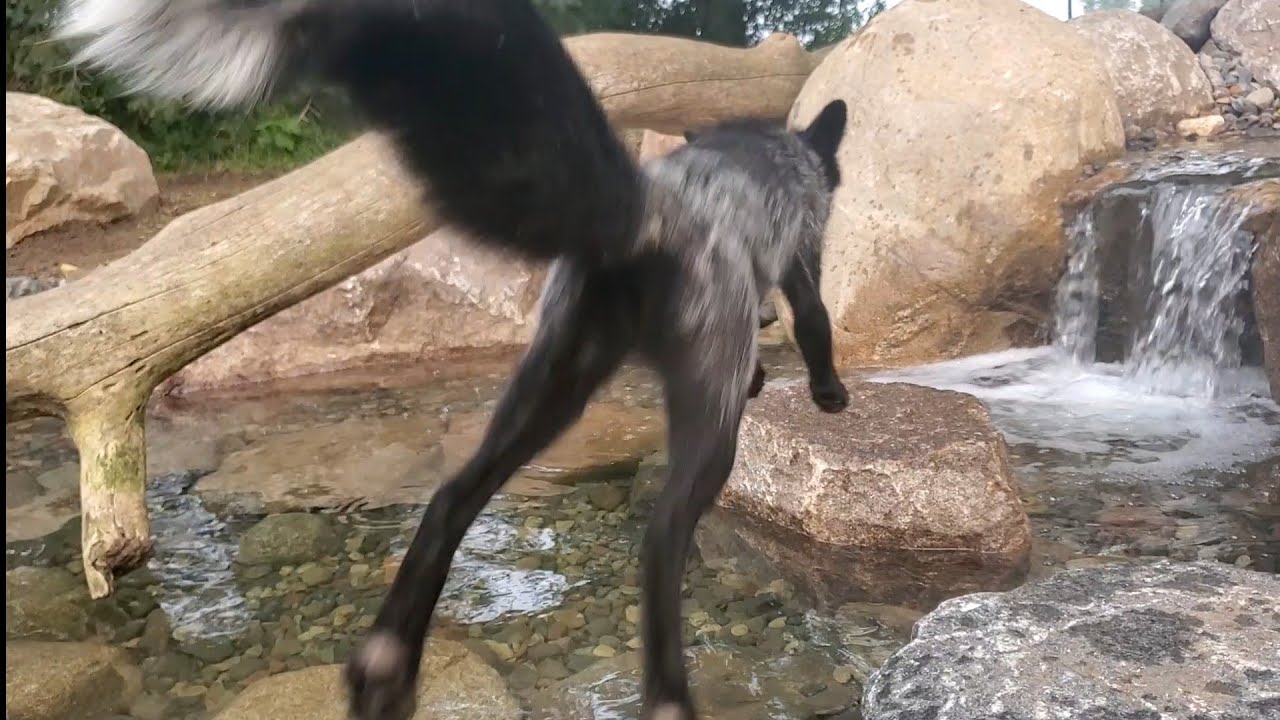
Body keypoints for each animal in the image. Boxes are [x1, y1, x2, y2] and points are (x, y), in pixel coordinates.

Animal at [52, 1, 850, 718]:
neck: (769, 153)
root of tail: (651, 207)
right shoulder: (802, 259)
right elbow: (816, 326)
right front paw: (829, 394)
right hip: (694, 425)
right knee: (658, 543)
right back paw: (667, 701)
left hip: (548, 389)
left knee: (447, 501)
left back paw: (387, 666)